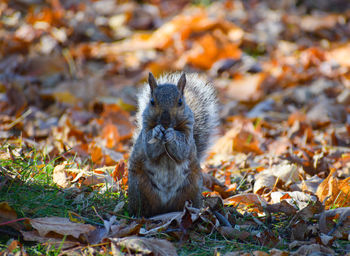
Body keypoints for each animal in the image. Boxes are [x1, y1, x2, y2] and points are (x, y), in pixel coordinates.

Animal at [127, 72, 217, 218]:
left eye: (180, 102)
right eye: (152, 102)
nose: (165, 122)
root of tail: (165, 207)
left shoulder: (188, 136)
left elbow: (182, 152)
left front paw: (171, 135)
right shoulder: (145, 134)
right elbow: (150, 151)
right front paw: (157, 132)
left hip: (192, 189)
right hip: (139, 188)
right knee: (143, 207)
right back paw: (139, 215)